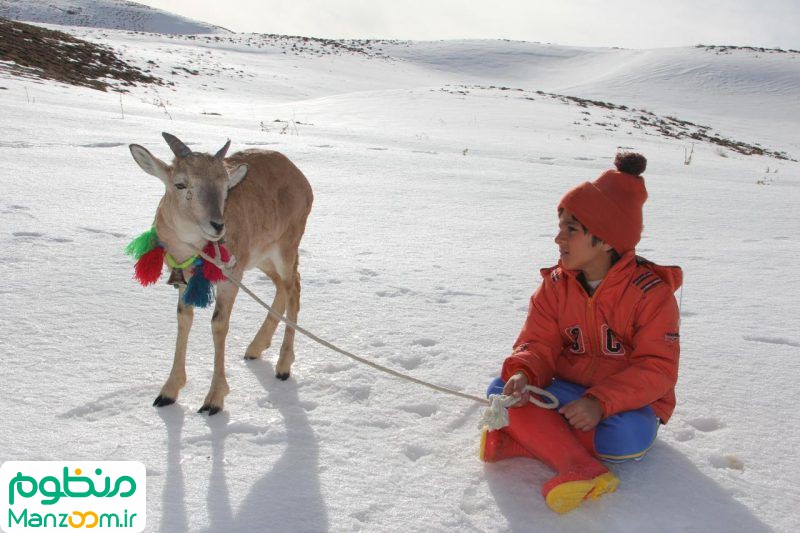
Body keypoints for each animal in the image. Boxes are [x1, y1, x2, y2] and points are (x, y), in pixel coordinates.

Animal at [129, 133, 312, 416]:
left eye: (226, 187)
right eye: (180, 184)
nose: (217, 225)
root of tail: (302, 181)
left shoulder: (229, 277)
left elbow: (218, 324)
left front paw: (213, 399)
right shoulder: (184, 279)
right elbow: (184, 319)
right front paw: (168, 392)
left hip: (286, 246)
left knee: (294, 287)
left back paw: (283, 365)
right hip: (261, 257)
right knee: (283, 285)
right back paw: (255, 348)